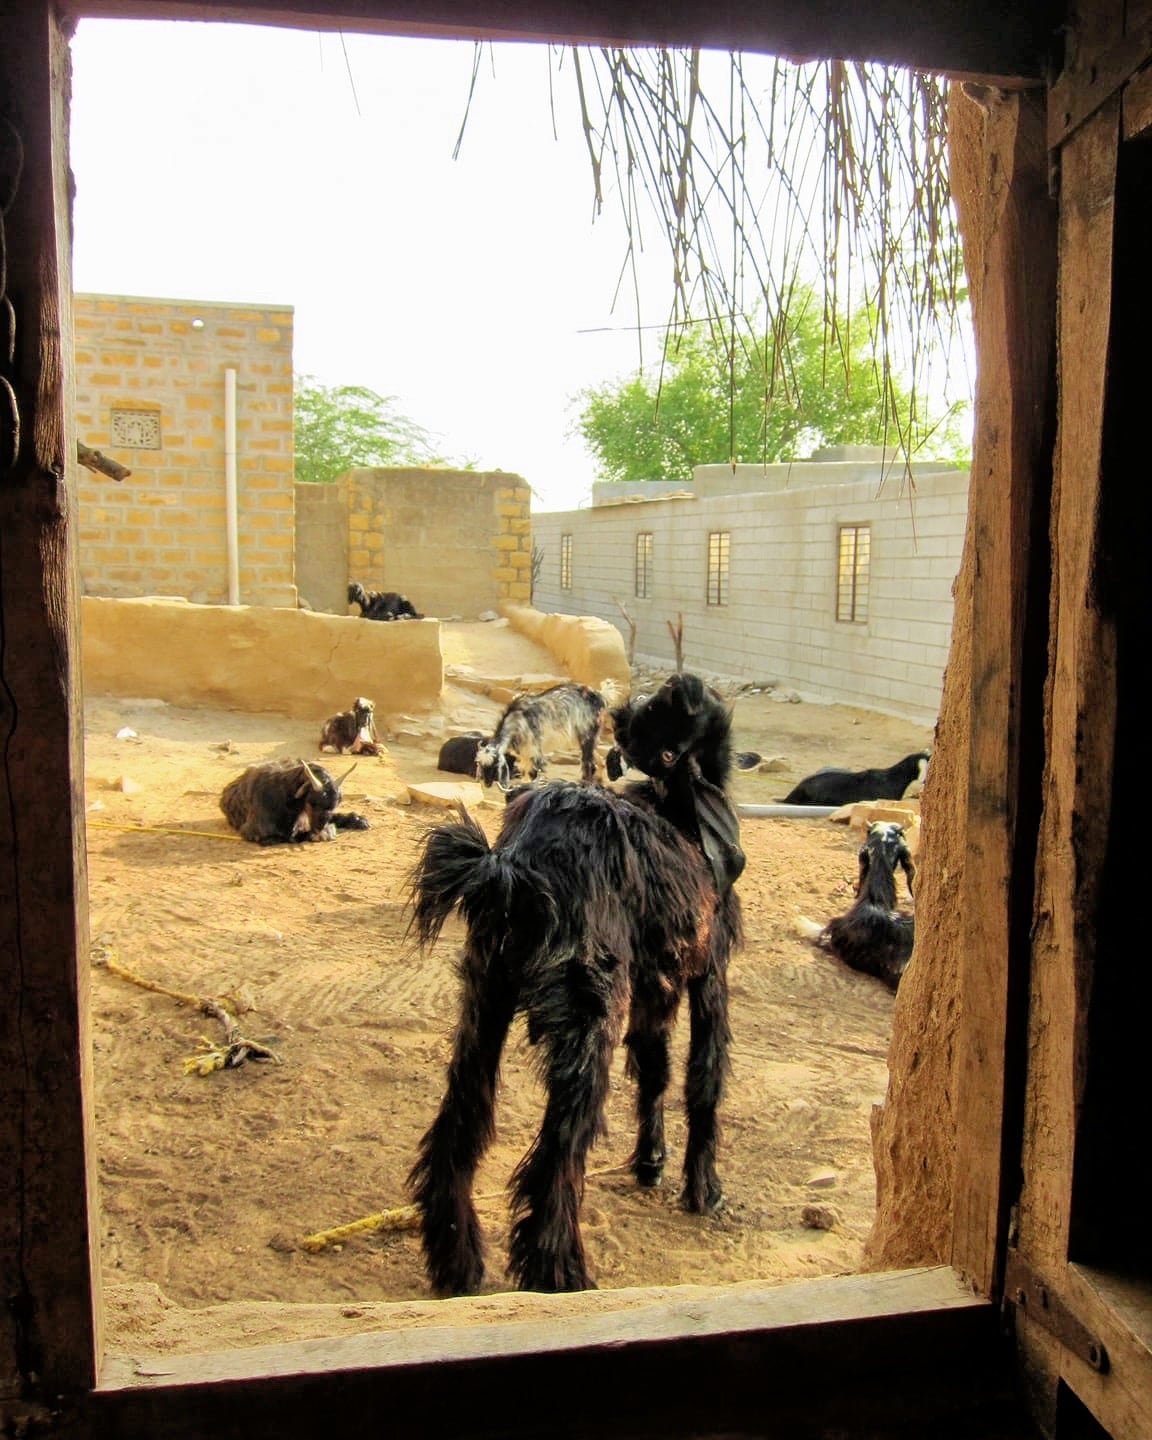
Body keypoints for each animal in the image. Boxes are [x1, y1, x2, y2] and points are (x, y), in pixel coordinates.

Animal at [218, 754, 368, 840]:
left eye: (336, 803)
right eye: (312, 802)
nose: (319, 827)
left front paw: (358, 820)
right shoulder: (255, 832)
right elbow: (292, 837)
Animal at [475, 679, 622, 794]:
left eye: (495, 767)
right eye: (481, 766)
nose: (486, 784)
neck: (517, 719)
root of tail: (600, 695)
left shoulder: (535, 753)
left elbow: (535, 776)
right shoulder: (525, 755)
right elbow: (525, 776)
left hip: (587, 734)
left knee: (589, 765)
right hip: (581, 739)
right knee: (599, 760)